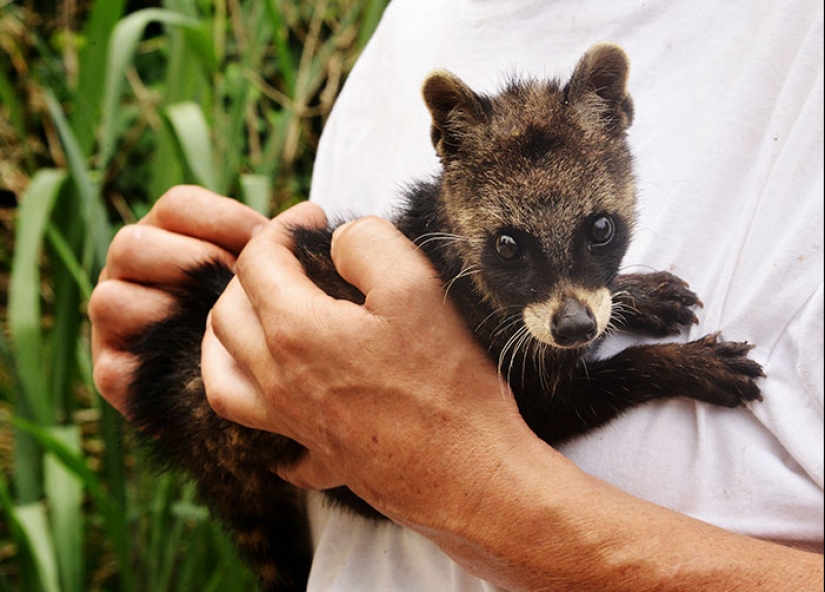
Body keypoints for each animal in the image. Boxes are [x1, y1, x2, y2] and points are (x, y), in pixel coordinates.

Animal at [125, 44, 764, 588]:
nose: (576, 328)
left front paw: (634, 295)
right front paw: (675, 364)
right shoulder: (518, 364)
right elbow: (569, 400)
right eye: (508, 245)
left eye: (600, 227)